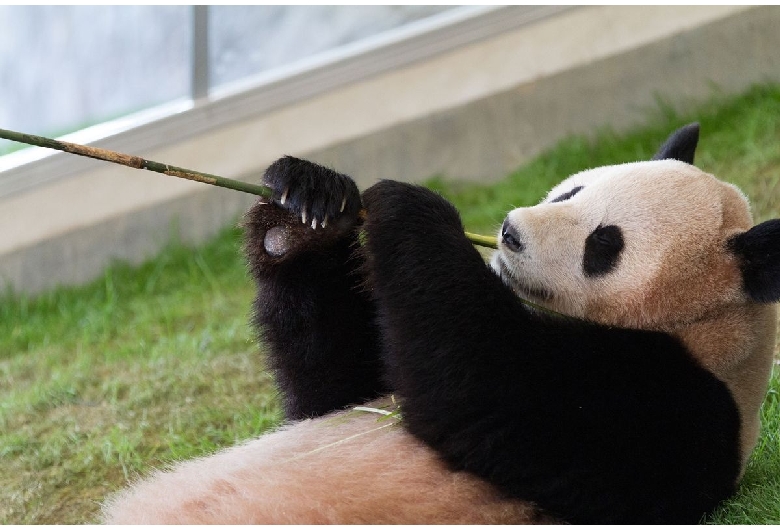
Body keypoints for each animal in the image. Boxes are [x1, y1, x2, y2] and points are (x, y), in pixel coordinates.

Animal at [103, 125, 780, 524]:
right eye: (572, 192)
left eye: (604, 244)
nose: (509, 233)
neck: (709, 328)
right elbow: (336, 388)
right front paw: (307, 206)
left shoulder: (672, 403)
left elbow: (480, 388)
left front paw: (413, 206)